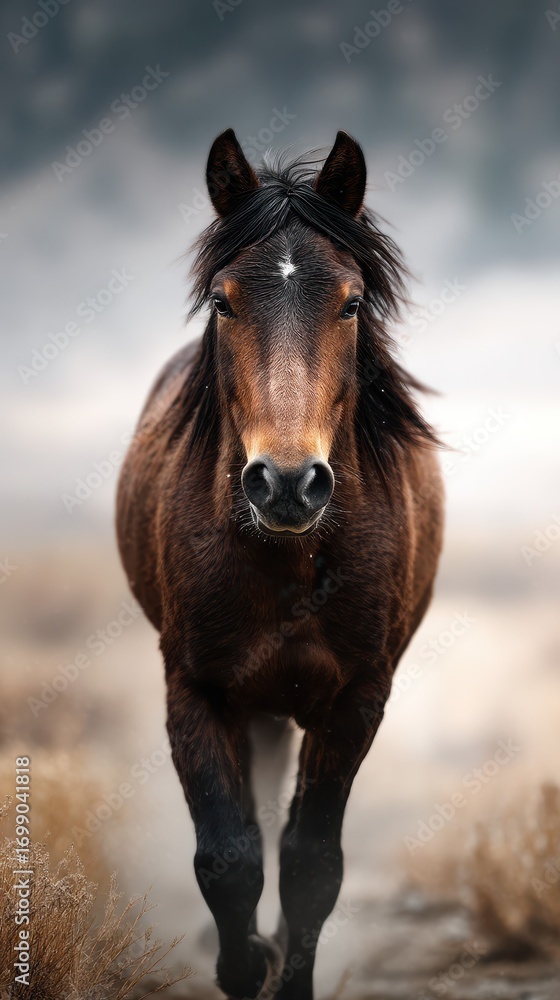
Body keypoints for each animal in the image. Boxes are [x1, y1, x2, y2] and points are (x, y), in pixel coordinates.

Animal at [116, 128, 444, 1000]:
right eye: (223, 301)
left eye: (353, 302)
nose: (288, 482)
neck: (292, 557)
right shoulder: (195, 689)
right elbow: (228, 859)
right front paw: (245, 962)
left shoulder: (357, 697)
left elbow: (310, 865)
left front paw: (283, 973)